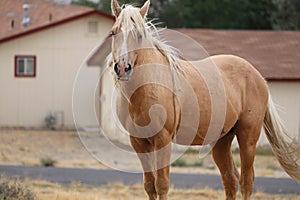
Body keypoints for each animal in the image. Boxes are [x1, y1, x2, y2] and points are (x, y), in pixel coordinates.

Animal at [109, 0, 300, 199]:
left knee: (246, 181)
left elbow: (161, 185)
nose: (122, 67)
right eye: (113, 32)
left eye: (139, 35)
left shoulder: (163, 140)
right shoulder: (138, 142)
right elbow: (149, 185)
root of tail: (258, 76)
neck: (149, 85)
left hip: (248, 137)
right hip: (222, 140)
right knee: (230, 179)